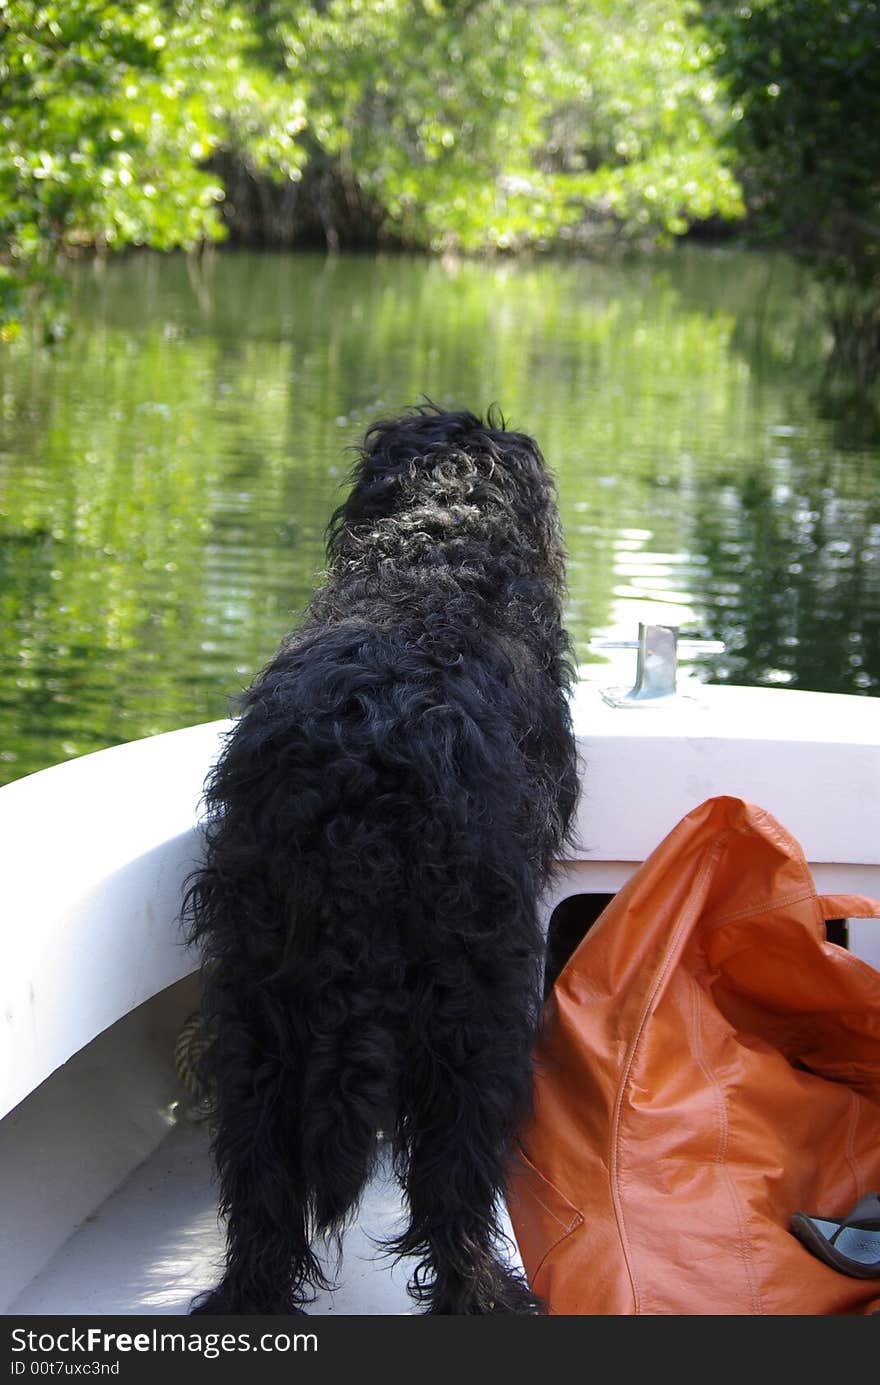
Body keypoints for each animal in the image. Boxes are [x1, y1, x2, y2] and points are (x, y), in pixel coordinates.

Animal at [185, 404, 582, 1312]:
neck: (437, 550)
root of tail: (353, 785)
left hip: (255, 995)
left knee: (259, 1174)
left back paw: (250, 1295)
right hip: (475, 1000)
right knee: (455, 1175)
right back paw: (484, 1289)